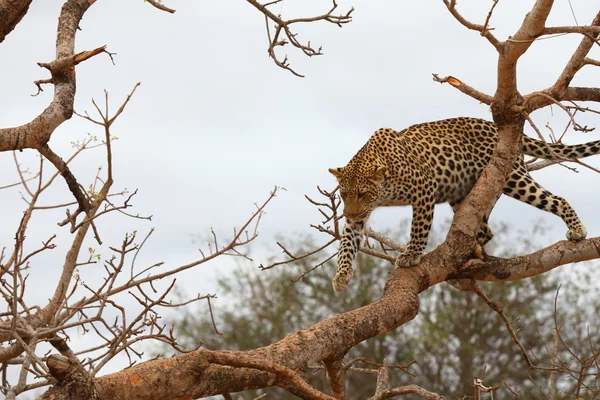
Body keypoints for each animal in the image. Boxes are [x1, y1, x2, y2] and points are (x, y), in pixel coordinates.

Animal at [328, 117, 600, 292]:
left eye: (363, 193)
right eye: (343, 194)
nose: (349, 213)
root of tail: (496, 127)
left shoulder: (424, 188)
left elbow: (418, 229)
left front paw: (411, 255)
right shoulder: (359, 216)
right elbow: (348, 242)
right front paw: (341, 274)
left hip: (513, 178)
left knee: (556, 199)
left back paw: (577, 230)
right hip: (466, 195)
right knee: (486, 230)